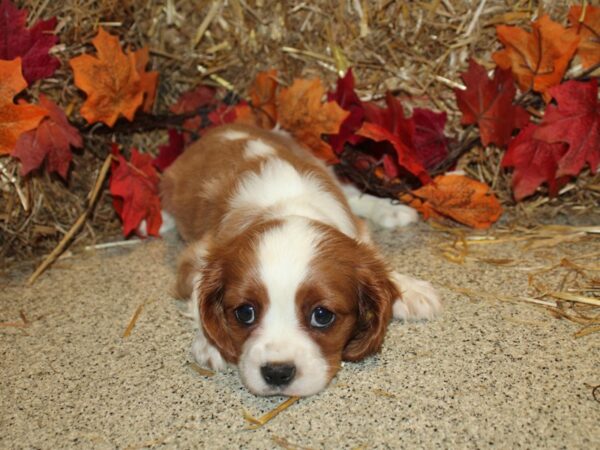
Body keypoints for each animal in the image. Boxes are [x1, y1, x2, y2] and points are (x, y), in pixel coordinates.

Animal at [159, 125, 440, 396]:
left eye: (322, 316)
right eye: (245, 313)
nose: (277, 373)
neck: (287, 207)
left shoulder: (356, 230)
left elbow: (374, 258)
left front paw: (409, 289)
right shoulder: (199, 255)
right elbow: (198, 294)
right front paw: (210, 343)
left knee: (352, 191)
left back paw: (390, 210)